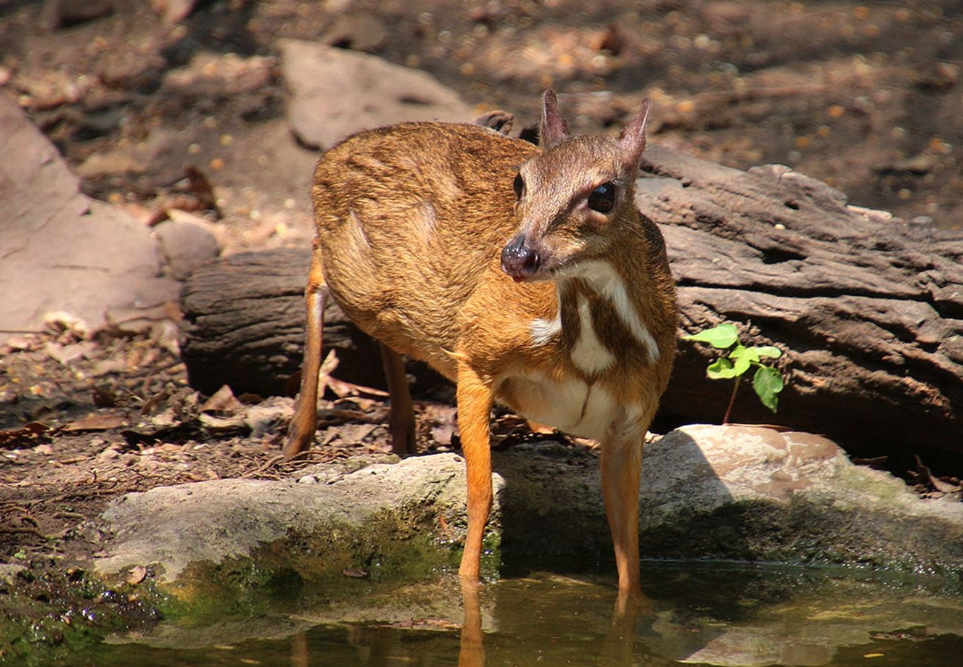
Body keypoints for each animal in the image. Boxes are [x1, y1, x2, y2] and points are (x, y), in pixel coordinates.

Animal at [286, 91, 676, 592]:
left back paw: (402, 432)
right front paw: (467, 585)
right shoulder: (476, 354)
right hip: (355, 276)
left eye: (604, 193)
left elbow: (627, 528)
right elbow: (479, 494)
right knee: (317, 267)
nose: (517, 255)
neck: (587, 352)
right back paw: (297, 439)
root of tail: (332, 154)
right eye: (521, 182)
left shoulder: (636, 414)